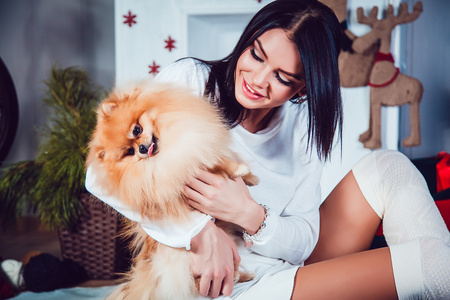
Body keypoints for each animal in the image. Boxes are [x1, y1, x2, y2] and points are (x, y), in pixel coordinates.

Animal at [86, 82, 256, 300]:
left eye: (136, 130)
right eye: (129, 152)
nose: (142, 149)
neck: (168, 150)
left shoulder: (195, 152)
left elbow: (219, 159)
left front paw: (250, 177)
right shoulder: (184, 172)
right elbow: (217, 165)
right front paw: (241, 170)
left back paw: (245, 274)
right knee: (197, 282)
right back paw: (234, 276)